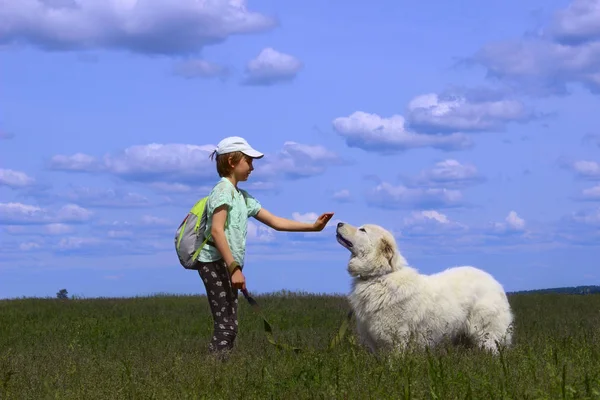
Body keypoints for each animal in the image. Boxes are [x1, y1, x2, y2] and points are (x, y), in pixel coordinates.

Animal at [336, 220, 512, 354]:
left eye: (363, 230)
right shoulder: (375, 342)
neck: (380, 276)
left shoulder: (396, 340)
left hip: (485, 334)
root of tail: (495, 282)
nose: (338, 223)